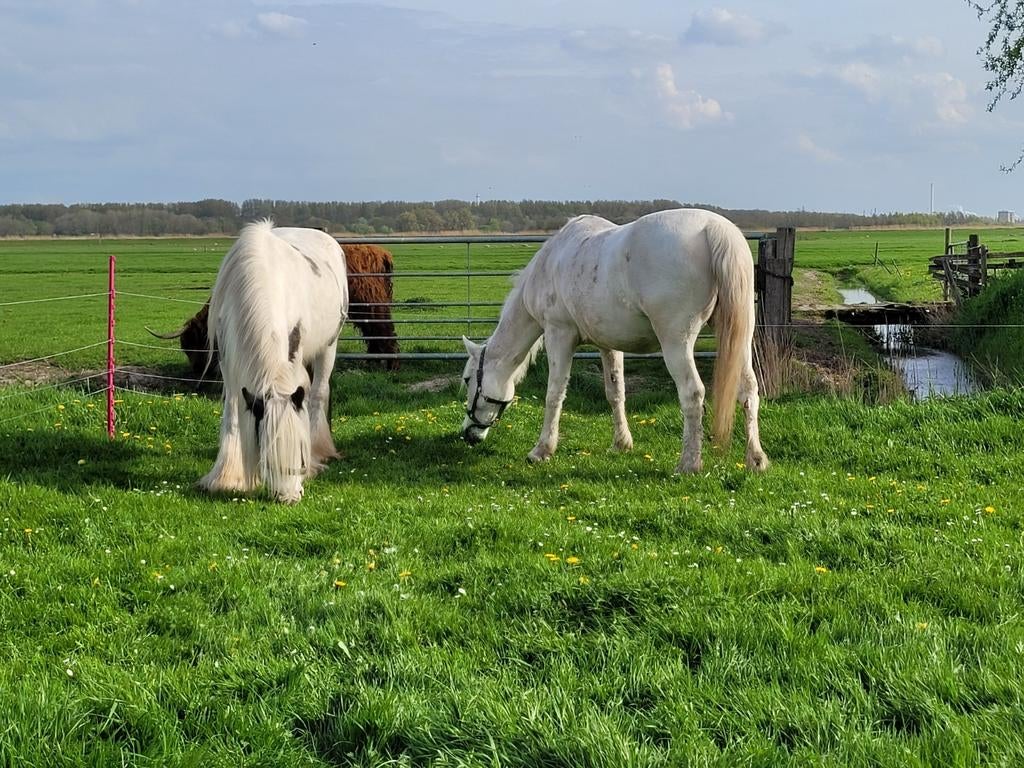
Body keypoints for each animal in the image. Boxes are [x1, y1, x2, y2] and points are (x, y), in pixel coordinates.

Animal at [147, 244, 398, 375]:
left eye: (193, 345)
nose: (196, 374)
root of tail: (379, 251)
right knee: (374, 333)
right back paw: (373, 363)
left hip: (371, 305)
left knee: (385, 331)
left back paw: (390, 365)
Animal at [198, 220, 348, 503]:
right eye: (266, 456)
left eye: (300, 454)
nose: (289, 498)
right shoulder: (228, 360)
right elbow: (232, 412)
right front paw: (226, 478)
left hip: (329, 345)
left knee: (318, 394)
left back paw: (321, 449)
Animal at [460, 208, 768, 474]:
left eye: (467, 379)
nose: (467, 434)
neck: (551, 263)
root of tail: (713, 228)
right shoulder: (608, 344)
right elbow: (615, 392)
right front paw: (622, 444)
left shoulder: (559, 334)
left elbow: (554, 394)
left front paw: (542, 450)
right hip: (739, 338)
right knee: (748, 390)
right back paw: (755, 459)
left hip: (676, 342)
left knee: (692, 394)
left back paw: (688, 464)